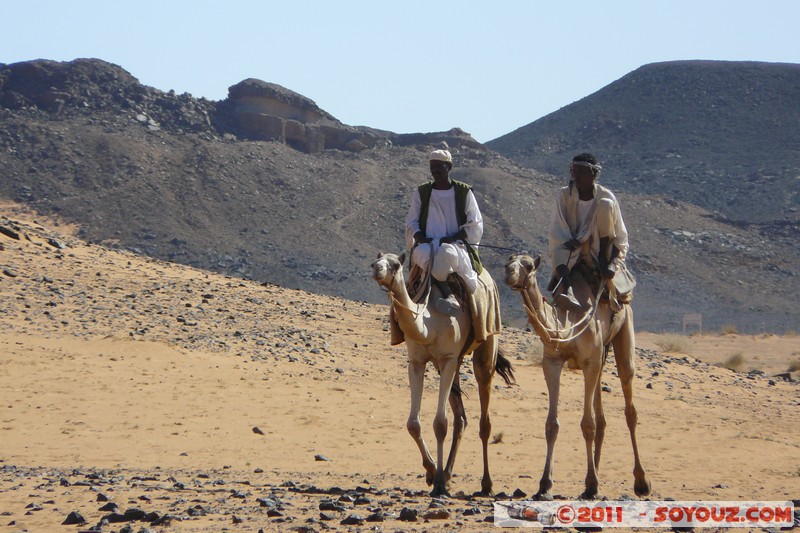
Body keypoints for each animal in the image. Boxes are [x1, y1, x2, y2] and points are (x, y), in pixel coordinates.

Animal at [372, 251, 516, 496]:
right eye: (376, 260)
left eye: (396, 264)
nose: (376, 269)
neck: (428, 325)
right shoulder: (417, 362)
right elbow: (413, 424)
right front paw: (432, 472)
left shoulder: (447, 359)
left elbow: (440, 423)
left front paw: (438, 482)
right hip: (454, 363)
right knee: (461, 418)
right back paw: (448, 473)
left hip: (486, 344)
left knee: (483, 417)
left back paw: (486, 484)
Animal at [506, 254, 648, 498]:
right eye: (510, 260)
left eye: (529, 265)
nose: (508, 272)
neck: (566, 324)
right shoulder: (552, 362)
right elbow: (552, 424)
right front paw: (545, 484)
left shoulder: (588, 363)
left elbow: (587, 425)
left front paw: (591, 483)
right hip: (600, 359)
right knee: (602, 417)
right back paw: (595, 476)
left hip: (624, 331)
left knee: (629, 404)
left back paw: (640, 482)